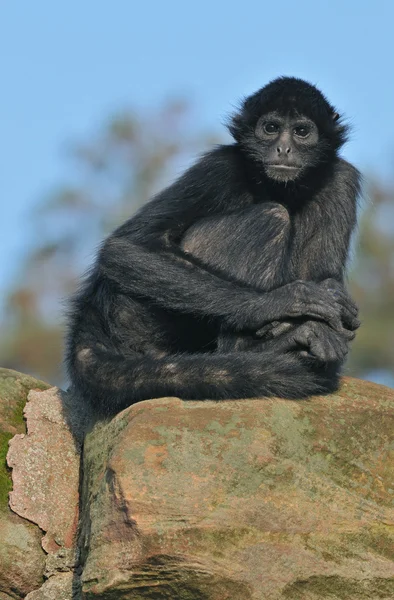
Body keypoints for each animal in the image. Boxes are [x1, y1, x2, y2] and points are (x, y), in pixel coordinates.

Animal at [66, 75, 362, 414]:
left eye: (301, 131)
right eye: (271, 128)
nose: (283, 147)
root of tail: (95, 303)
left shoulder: (341, 178)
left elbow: (328, 279)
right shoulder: (220, 166)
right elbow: (124, 248)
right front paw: (282, 301)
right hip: (140, 318)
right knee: (272, 216)